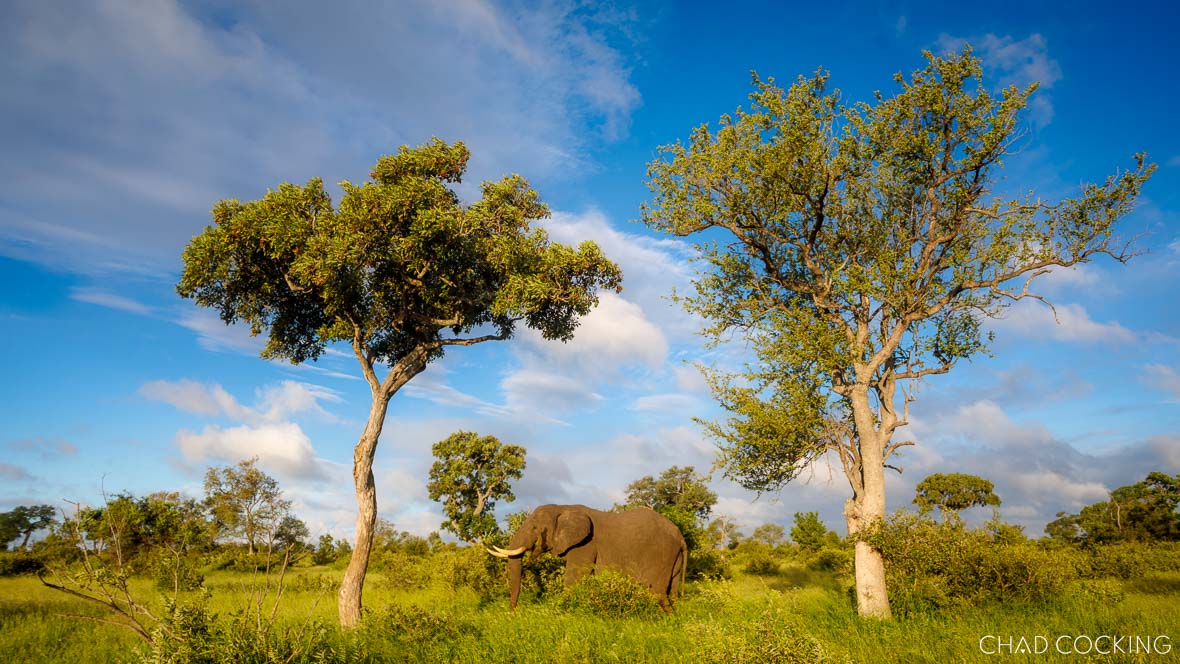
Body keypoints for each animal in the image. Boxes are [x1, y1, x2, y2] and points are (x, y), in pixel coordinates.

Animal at [486, 504, 687, 611]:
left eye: (535, 528)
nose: (512, 611)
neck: (563, 508)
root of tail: (680, 536)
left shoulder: (585, 544)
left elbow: (573, 579)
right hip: (674, 557)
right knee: (672, 589)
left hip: (661, 554)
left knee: (656, 591)